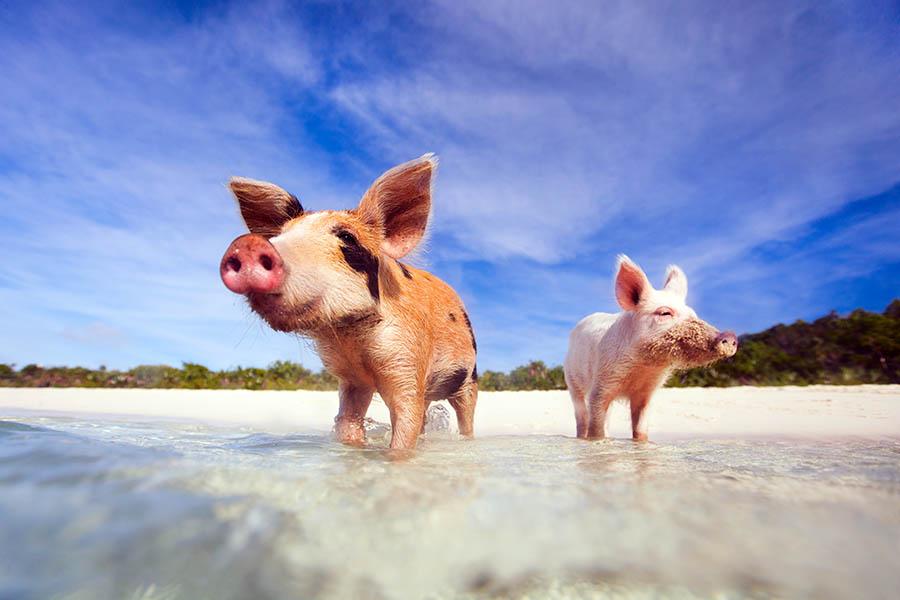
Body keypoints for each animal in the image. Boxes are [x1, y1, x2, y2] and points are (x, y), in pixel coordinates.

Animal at [219, 155, 477, 450]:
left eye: (347, 237)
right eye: (279, 235)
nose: (248, 244)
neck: (353, 339)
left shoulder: (407, 359)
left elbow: (405, 426)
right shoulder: (352, 379)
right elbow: (348, 422)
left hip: (469, 378)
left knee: (465, 415)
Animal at [563, 255, 737, 441]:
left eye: (693, 315)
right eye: (665, 313)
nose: (730, 336)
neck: (643, 367)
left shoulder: (647, 392)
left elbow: (641, 428)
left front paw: (641, 443)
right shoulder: (602, 383)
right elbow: (596, 427)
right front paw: (597, 441)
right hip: (571, 379)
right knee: (581, 416)